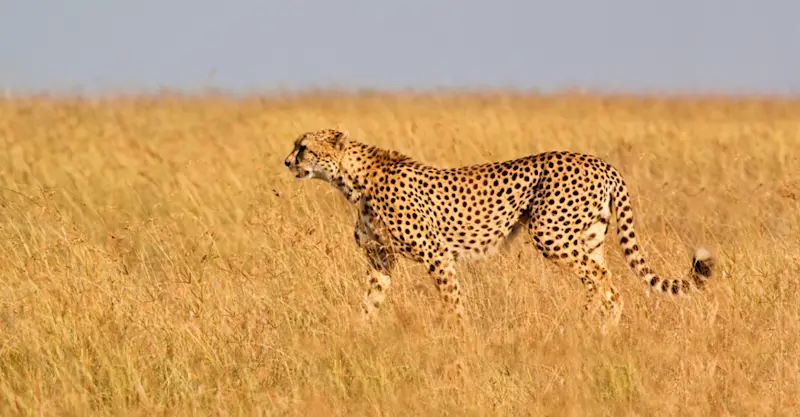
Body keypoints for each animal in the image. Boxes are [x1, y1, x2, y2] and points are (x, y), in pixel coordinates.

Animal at [283, 128, 714, 330]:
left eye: (304, 147)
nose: (287, 162)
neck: (352, 180)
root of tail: (599, 161)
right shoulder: (381, 261)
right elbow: (368, 303)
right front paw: (359, 333)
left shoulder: (437, 255)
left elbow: (453, 303)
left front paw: (461, 340)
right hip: (588, 238)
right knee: (598, 279)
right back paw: (587, 328)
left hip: (551, 234)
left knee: (608, 285)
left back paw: (602, 330)